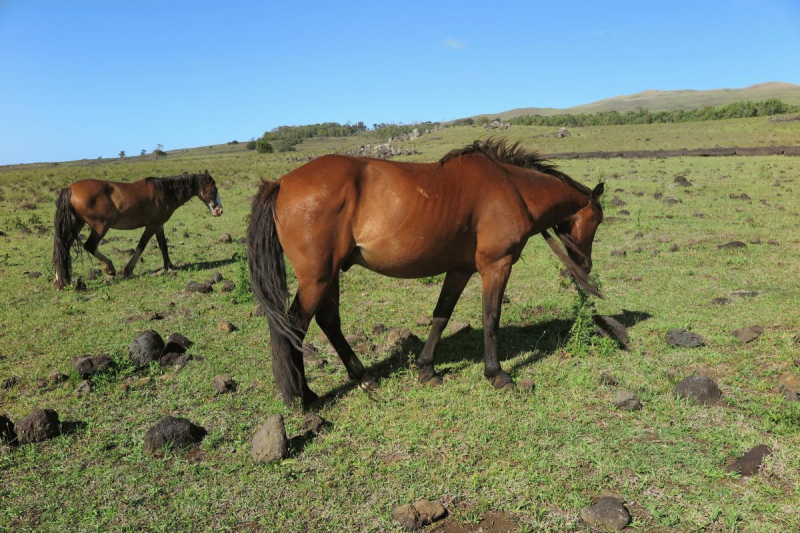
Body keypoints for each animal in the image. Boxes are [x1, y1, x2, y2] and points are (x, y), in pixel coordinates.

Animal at [52, 170, 222, 288]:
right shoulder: (152, 225)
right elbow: (141, 246)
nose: (219, 210)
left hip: (77, 224)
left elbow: (163, 246)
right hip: (100, 227)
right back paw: (110, 268)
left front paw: (169, 266)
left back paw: (60, 281)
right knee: (89, 245)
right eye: (214, 189)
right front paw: (128, 270)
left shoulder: (159, 225)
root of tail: (70, 189)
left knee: (63, 248)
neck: (164, 192)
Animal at [247, 139, 604, 406]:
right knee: (294, 326)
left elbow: (441, 316)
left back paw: (363, 378)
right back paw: (304, 395)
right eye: (597, 220)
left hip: (329, 275)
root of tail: (281, 183)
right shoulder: (496, 265)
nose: (585, 265)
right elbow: (491, 318)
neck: (513, 187)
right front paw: (497, 374)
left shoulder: (460, 270)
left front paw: (427, 369)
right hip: (317, 278)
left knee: (328, 322)